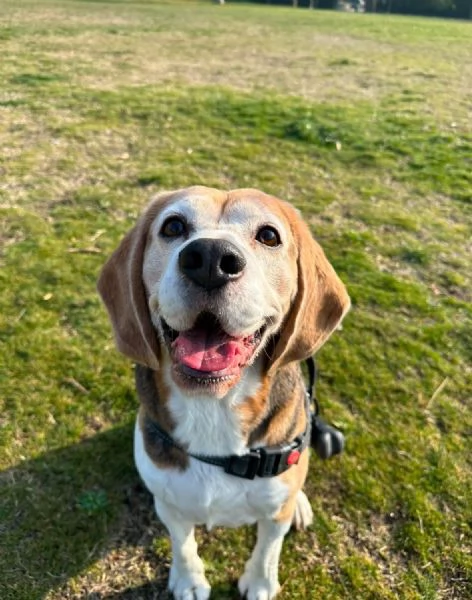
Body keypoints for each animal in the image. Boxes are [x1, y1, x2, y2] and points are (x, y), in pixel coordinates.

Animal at [97, 188, 348, 600]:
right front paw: (188, 580)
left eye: (269, 236)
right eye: (173, 227)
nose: (211, 260)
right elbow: (183, 543)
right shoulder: (169, 503)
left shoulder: (274, 511)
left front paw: (260, 583)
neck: (213, 407)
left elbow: (268, 548)